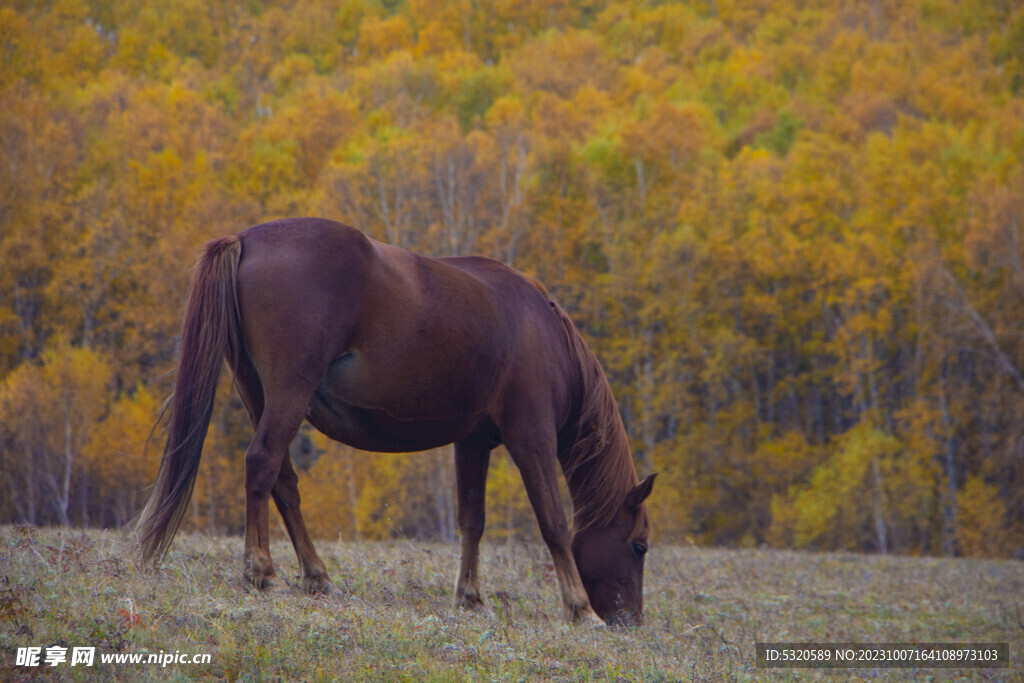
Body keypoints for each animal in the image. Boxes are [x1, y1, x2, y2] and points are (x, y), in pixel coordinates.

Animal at [136, 218, 655, 626]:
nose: (629, 620)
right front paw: (579, 608)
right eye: (639, 546)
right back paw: (261, 571)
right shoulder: (532, 438)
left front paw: (470, 598)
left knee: (283, 481)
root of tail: (246, 238)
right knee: (262, 465)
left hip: (259, 396)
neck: (542, 331)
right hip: (287, 394)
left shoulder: (472, 443)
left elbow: (472, 520)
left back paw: (315, 575)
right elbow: (553, 522)